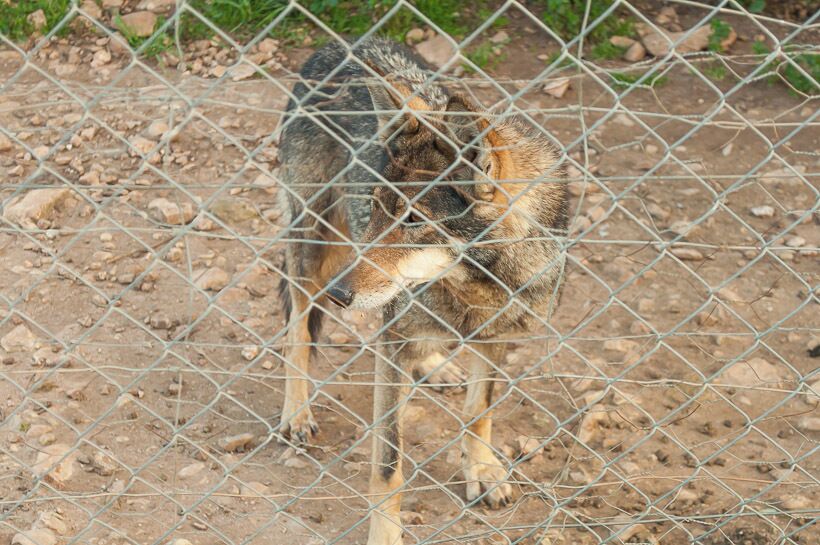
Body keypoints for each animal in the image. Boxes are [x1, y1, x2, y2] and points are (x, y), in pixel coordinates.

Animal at [276, 37, 567, 545]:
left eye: (413, 220)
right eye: (377, 206)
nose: (339, 295)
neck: (476, 289)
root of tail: (342, 44)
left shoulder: (495, 337)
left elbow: (479, 410)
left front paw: (482, 470)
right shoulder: (391, 347)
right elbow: (388, 466)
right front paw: (384, 535)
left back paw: (435, 365)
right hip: (309, 246)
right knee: (298, 327)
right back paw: (297, 412)